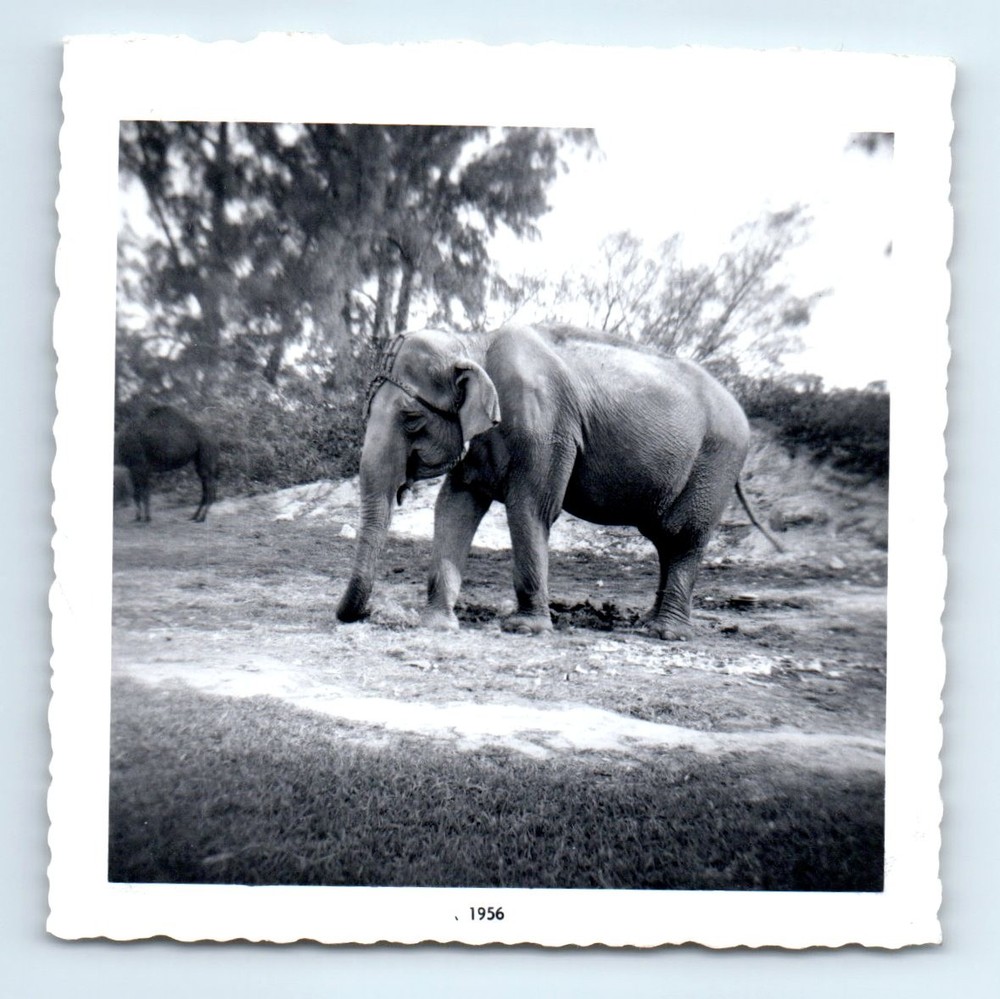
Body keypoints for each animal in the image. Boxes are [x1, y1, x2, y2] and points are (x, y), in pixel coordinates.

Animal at [336, 324, 779, 640]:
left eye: (411, 419)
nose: (365, 615)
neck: (475, 341)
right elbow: (454, 506)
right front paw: (436, 625)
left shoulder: (546, 427)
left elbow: (531, 507)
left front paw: (524, 629)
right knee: (667, 542)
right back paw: (649, 624)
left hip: (715, 462)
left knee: (682, 536)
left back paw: (664, 633)